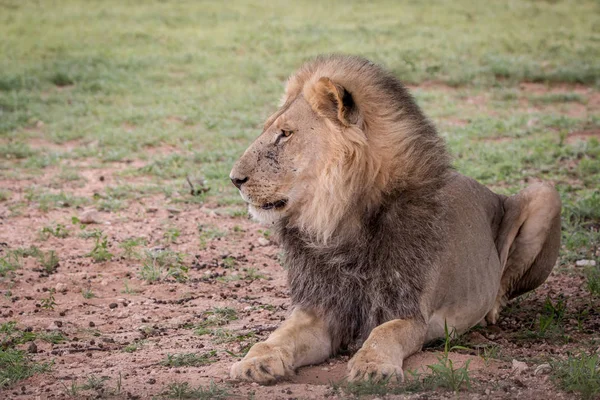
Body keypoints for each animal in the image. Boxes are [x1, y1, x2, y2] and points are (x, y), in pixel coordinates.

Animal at [229, 54, 564, 382]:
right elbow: (280, 334)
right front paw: (256, 361)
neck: (340, 224)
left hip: (545, 192)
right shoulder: (322, 307)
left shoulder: (412, 312)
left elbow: (384, 333)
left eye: (285, 134)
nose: (234, 179)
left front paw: (373, 365)